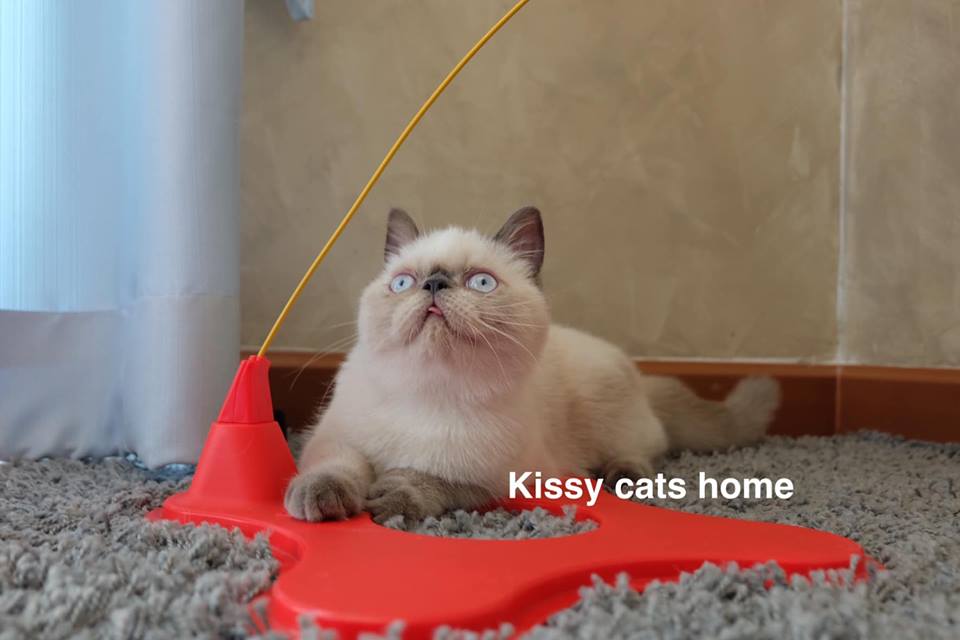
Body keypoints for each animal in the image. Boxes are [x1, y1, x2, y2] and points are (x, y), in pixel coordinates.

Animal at [285, 206, 780, 523]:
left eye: (481, 283)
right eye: (403, 282)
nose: (434, 283)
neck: (430, 390)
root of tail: (640, 374)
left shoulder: (497, 478)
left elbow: (431, 478)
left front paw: (392, 495)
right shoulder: (333, 439)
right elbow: (337, 465)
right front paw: (319, 499)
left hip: (610, 422)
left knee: (647, 448)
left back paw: (620, 475)